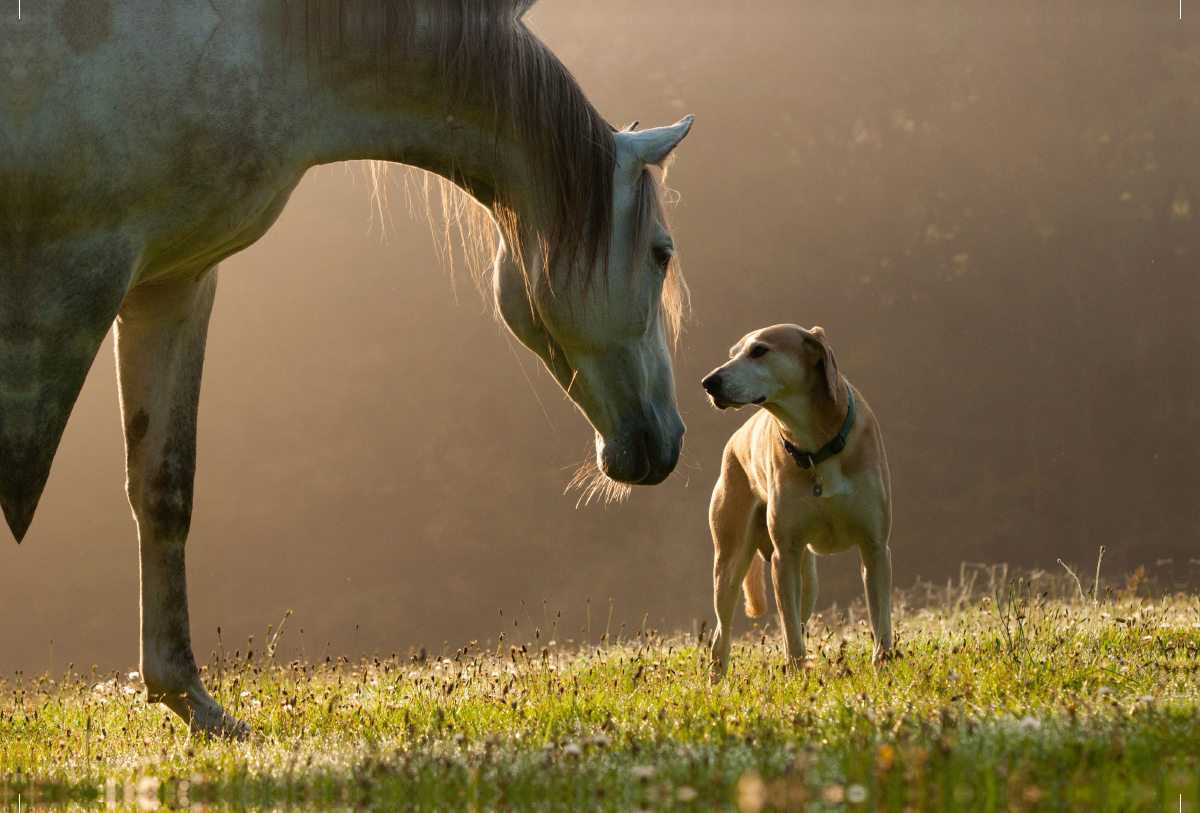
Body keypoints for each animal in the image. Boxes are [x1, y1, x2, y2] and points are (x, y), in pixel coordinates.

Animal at [2, 0, 696, 738]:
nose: (668, 439)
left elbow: (163, 487)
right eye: (660, 253)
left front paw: (189, 698)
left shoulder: (173, 280)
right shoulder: (83, 267)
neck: (254, 42)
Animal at [700, 323, 892, 676]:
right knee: (722, 635)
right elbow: (790, 633)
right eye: (732, 354)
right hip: (731, 563)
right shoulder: (785, 555)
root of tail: (734, 440)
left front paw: (884, 669)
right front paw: (797, 675)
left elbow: (881, 620)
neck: (816, 444)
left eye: (759, 351)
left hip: (809, 579)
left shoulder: (874, 546)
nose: (709, 382)